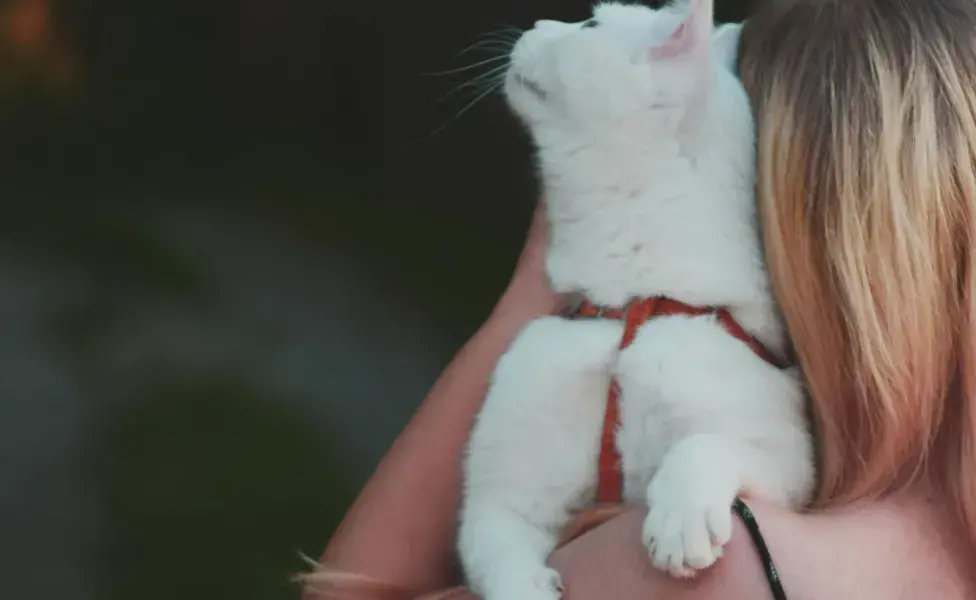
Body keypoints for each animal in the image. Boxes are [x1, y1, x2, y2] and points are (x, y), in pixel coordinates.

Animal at [458, 1, 816, 600]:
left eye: (589, 26)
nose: (534, 26)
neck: (630, 308)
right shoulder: (500, 498)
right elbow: (501, 559)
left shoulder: (793, 465)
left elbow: (705, 443)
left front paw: (680, 519)